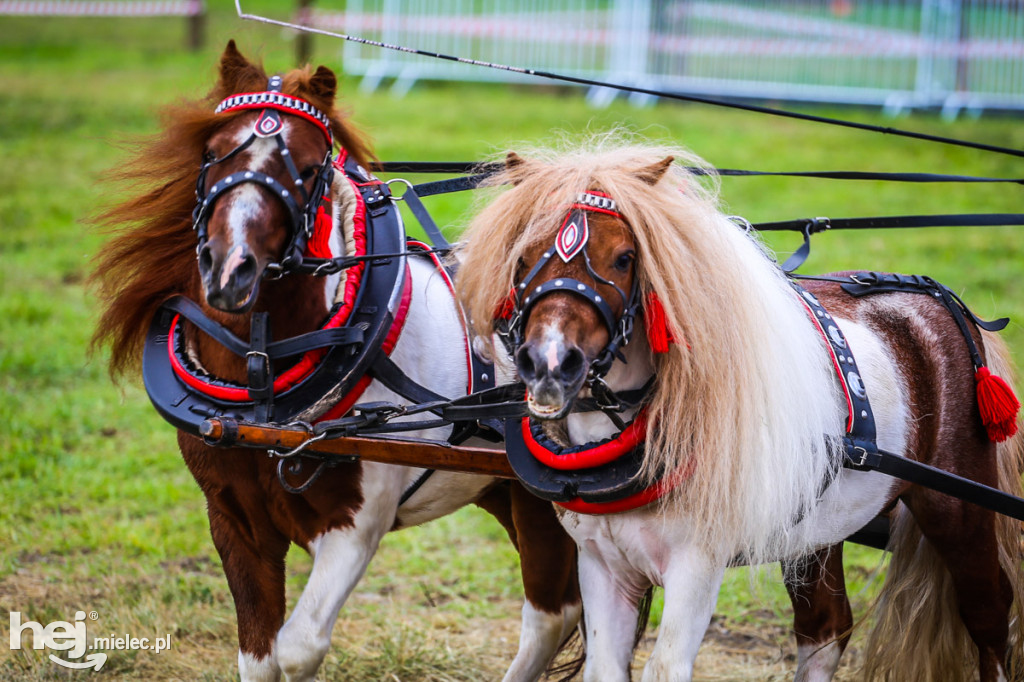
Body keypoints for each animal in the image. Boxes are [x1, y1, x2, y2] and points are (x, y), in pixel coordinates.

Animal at [92, 43, 581, 679]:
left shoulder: (355, 526)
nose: (230, 269)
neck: (264, 390)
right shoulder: (233, 522)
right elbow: (259, 655)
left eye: (307, 166)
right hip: (504, 489)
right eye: (212, 152)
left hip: (545, 501)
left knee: (552, 615)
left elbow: (298, 646)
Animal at [458, 139, 1024, 679]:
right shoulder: (602, 563)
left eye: (623, 257)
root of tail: (941, 299)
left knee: (989, 615)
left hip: (958, 508)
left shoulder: (696, 567)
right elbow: (604, 668)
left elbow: (666, 667)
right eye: (523, 255)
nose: (549, 362)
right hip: (818, 530)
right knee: (825, 629)